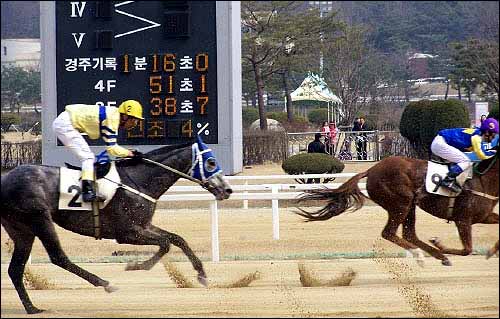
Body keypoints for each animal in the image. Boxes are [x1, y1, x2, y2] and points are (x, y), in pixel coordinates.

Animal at [0, 140, 232, 316]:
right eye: (211, 162)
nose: (227, 190)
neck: (139, 180)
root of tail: (5, 179)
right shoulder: (127, 232)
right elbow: (166, 243)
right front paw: (136, 266)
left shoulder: (143, 225)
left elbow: (177, 238)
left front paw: (202, 274)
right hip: (39, 219)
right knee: (58, 257)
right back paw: (104, 282)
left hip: (21, 229)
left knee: (15, 269)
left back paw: (32, 308)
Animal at [296, 150, 496, 268]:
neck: (483, 180)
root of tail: (371, 170)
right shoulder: (463, 219)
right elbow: (467, 249)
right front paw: (440, 244)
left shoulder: (484, 216)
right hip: (401, 203)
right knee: (389, 233)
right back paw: (421, 255)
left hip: (410, 205)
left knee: (409, 234)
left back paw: (434, 255)